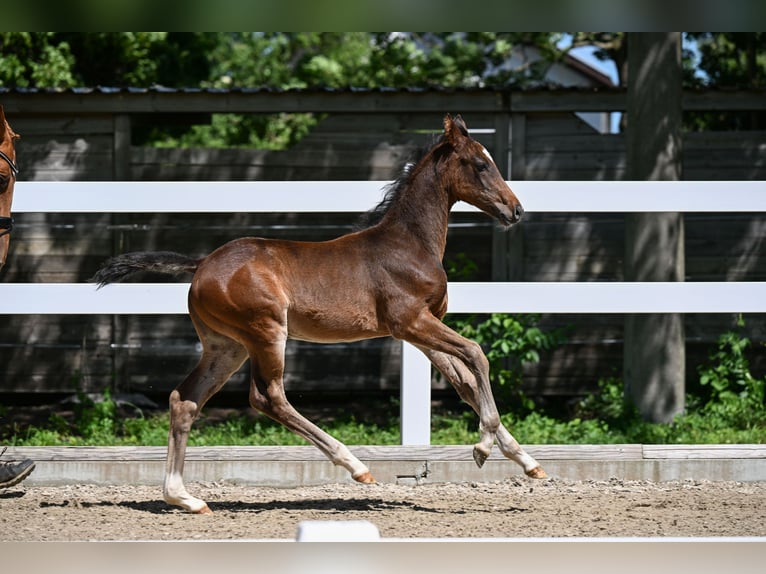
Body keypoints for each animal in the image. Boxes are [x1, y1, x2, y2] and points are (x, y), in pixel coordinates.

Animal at [92, 114, 547, 514]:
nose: (516, 210)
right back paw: (356, 466)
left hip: (226, 346)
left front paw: (525, 461)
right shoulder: (411, 322)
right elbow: (476, 354)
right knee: (268, 397)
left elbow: (465, 383)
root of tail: (201, 263)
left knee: (184, 400)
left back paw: (184, 498)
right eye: (481, 164)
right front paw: (483, 447)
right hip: (265, 332)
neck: (409, 244)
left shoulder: (416, 329)